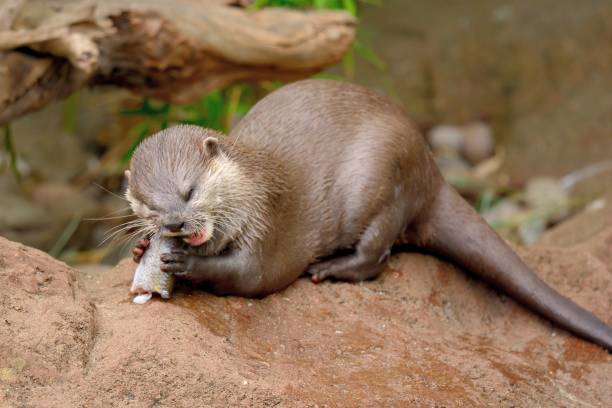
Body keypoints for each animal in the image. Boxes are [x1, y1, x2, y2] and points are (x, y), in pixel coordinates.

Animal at [125, 79, 612, 350]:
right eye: (148, 204)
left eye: (189, 190)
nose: (174, 224)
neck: (251, 185)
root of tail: (430, 169)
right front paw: (142, 247)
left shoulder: (267, 224)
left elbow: (252, 274)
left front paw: (184, 262)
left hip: (381, 180)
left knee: (378, 254)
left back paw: (331, 268)